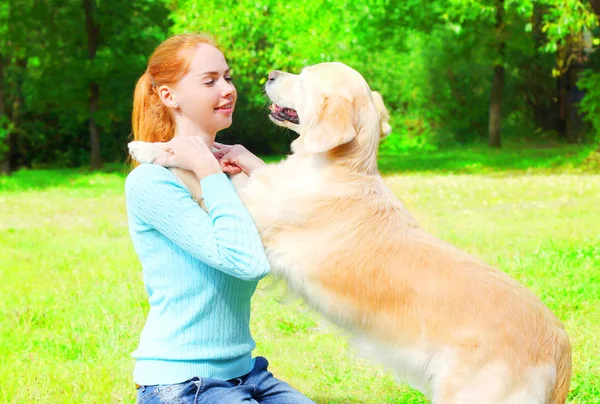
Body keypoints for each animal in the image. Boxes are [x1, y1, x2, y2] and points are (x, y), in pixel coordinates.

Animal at [127, 61, 572, 402]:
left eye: (304, 79)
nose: (270, 74)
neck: (338, 168)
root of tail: (560, 344)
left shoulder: (251, 217)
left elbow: (200, 171)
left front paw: (152, 150)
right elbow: (227, 163)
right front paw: (214, 150)